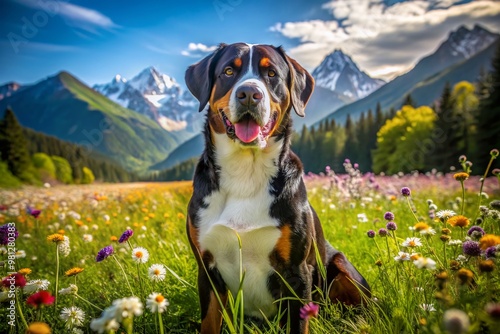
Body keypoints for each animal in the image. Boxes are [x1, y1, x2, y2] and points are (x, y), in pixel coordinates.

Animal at [185, 43, 372, 332]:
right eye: (228, 71)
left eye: (271, 73)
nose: (249, 94)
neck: (245, 173)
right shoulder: (207, 270)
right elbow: (210, 323)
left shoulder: (296, 272)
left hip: (341, 265)